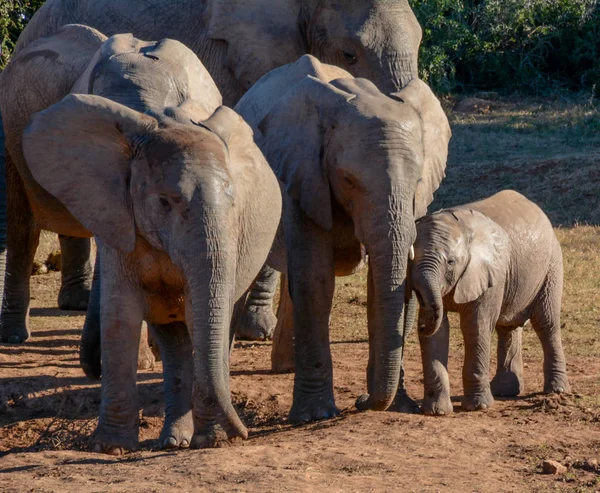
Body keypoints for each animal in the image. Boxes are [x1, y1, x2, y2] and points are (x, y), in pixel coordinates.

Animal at [22, 42, 282, 454]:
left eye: (235, 203)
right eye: (164, 202)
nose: (245, 433)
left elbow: (200, 312)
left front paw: (212, 440)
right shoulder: (113, 207)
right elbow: (121, 314)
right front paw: (110, 447)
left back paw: (192, 436)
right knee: (174, 336)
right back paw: (174, 440)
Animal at [234, 55, 450, 420]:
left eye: (419, 179)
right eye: (348, 179)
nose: (361, 400)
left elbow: (381, 285)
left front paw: (397, 405)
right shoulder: (303, 174)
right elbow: (315, 281)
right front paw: (315, 415)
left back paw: (286, 368)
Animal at [410, 189, 568, 416]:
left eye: (451, 262)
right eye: (410, 260)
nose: (421, 326)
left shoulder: (490, 274)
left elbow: (475, 326)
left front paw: (478, 407)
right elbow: (439, 332)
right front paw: (436, 412)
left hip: (551, 264)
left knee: (546, 323)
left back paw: (556, 390)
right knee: (508, 326)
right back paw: (505, 391)